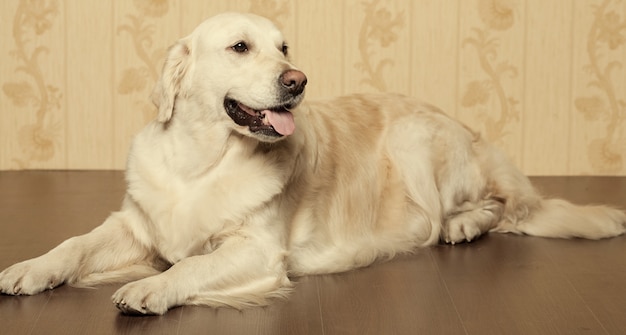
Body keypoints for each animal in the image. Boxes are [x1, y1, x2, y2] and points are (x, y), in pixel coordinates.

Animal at [1, 12, 624, 316]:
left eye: (284, 48)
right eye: (240, 47)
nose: (297, 80)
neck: (202, 160)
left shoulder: (258, 250)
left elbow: (191, 266)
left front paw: (152, 288)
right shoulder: (133, 224)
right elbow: (73, 245)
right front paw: (30, 268)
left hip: (417, 141)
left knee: (499, 206)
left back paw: (462, 225)